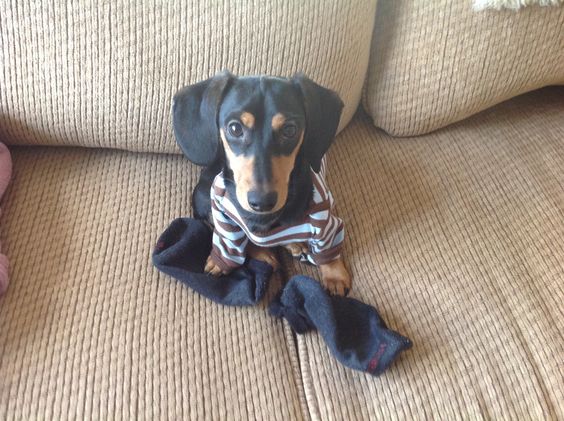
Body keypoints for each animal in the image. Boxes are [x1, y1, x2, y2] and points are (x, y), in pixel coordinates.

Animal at [172, 71, 350, 296]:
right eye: (235, 128)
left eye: (290, 130)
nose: (262, 202)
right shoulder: (222, 212)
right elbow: (230, 242)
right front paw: (220, 262)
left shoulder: (324, 217)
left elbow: (328, 249)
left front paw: (335, 276)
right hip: (203, 196)